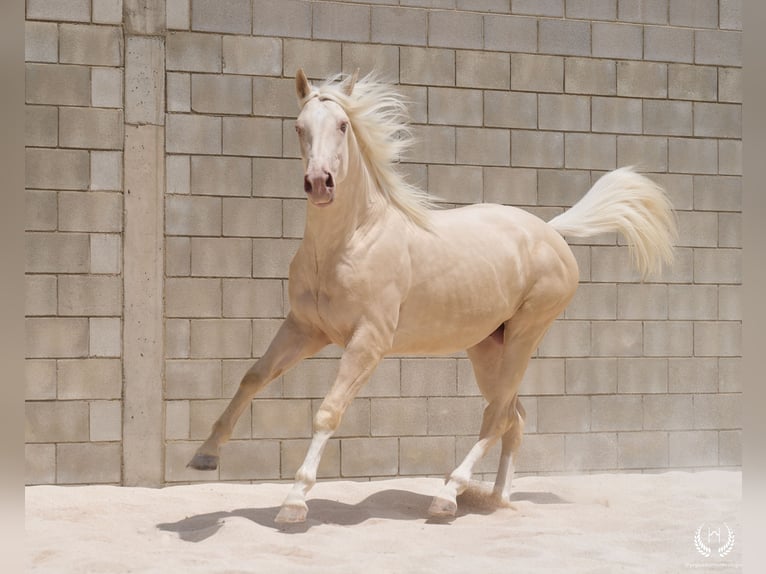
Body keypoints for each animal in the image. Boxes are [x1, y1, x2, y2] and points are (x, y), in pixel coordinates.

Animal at [188, 69, 677, 524]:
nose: (319, 183)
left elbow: (327, 412)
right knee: (512, 416)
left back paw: (448, 495)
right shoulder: (306, 329)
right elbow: (253, 377)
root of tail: (551, 232)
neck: (350, 242)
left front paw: (294, 501)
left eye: (343, 125)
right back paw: (496, 500)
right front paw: (205, 455)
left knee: (497, 416)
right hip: (487, 347)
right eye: (298, 126)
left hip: (526, 334)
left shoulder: (368, 342)